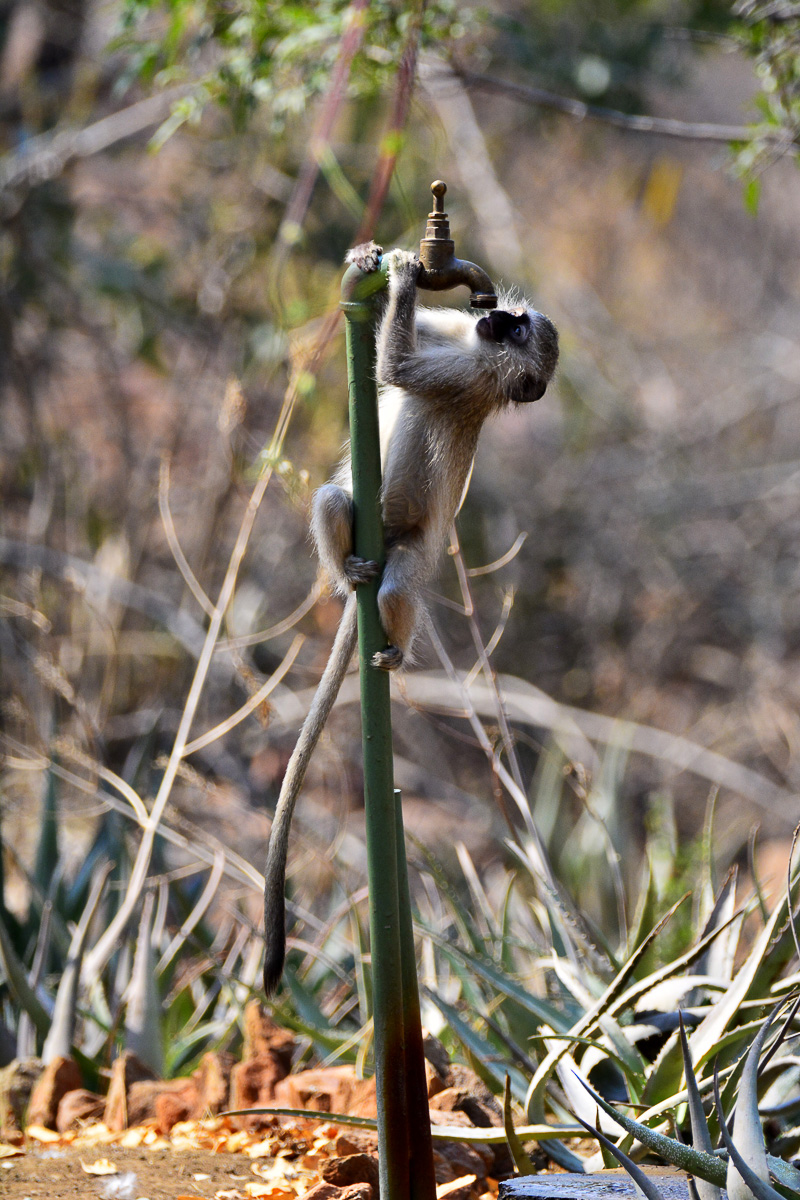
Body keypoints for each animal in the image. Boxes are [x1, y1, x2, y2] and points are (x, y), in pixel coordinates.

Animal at [262, 243, 559, 995]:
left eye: (518, 331)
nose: (498, 314)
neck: (480, 359)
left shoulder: (462, 372)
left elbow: (396, 370)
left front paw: (396, 276)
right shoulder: (458, 344)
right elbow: (396, 340)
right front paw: (373, 265)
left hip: (419, 552)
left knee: (401, 588)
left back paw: (394, 647)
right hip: (360, 526)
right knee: (333, 500)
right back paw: (350, 574)